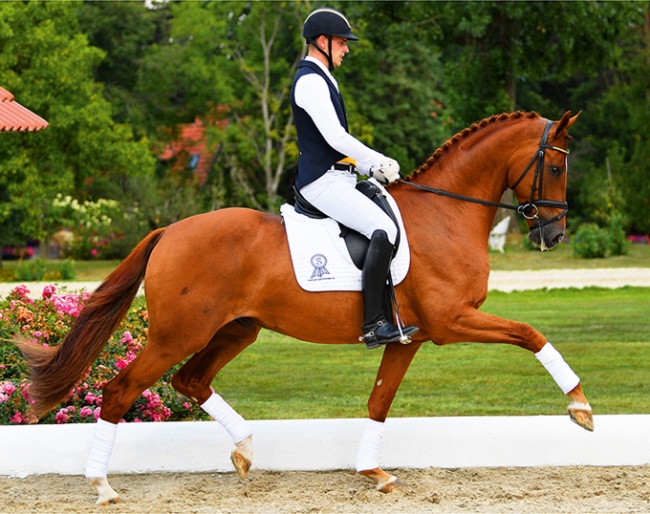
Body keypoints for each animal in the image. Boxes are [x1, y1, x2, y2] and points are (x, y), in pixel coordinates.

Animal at [19, 110, 592, 502]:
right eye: (556, 166)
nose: (554, 234)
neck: (445, 215)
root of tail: (169, 231)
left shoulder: (410, 336)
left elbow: (379, 401)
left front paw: (373, 472)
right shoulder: (452, 321)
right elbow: (531, 333)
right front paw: (580, 408)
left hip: (237, 329)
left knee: (190, 380)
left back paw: (245, 449)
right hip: (177, 334)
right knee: (121, 390)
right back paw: (102, 487)